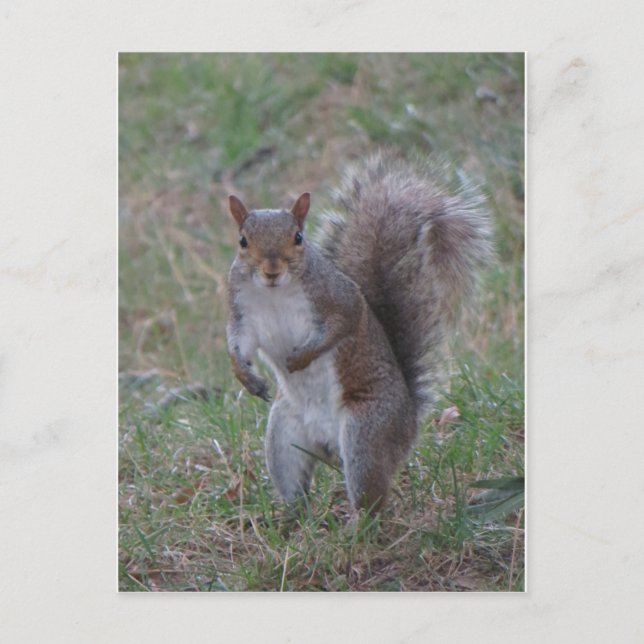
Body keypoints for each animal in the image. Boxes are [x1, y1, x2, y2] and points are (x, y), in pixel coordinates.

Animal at [226, 153, 492, 512]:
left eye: (298, 237)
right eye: (243, 241)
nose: (271, 270)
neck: (274, 293)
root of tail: (408, 424)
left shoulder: (339, 299)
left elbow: (342, 325)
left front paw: (302, 358)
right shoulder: (243, 313)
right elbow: (238, 343)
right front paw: (246, 376)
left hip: (365, 432)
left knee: (371, 498)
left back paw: (358, 522)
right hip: (283, 437)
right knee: (294, 481)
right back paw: (290, 517)